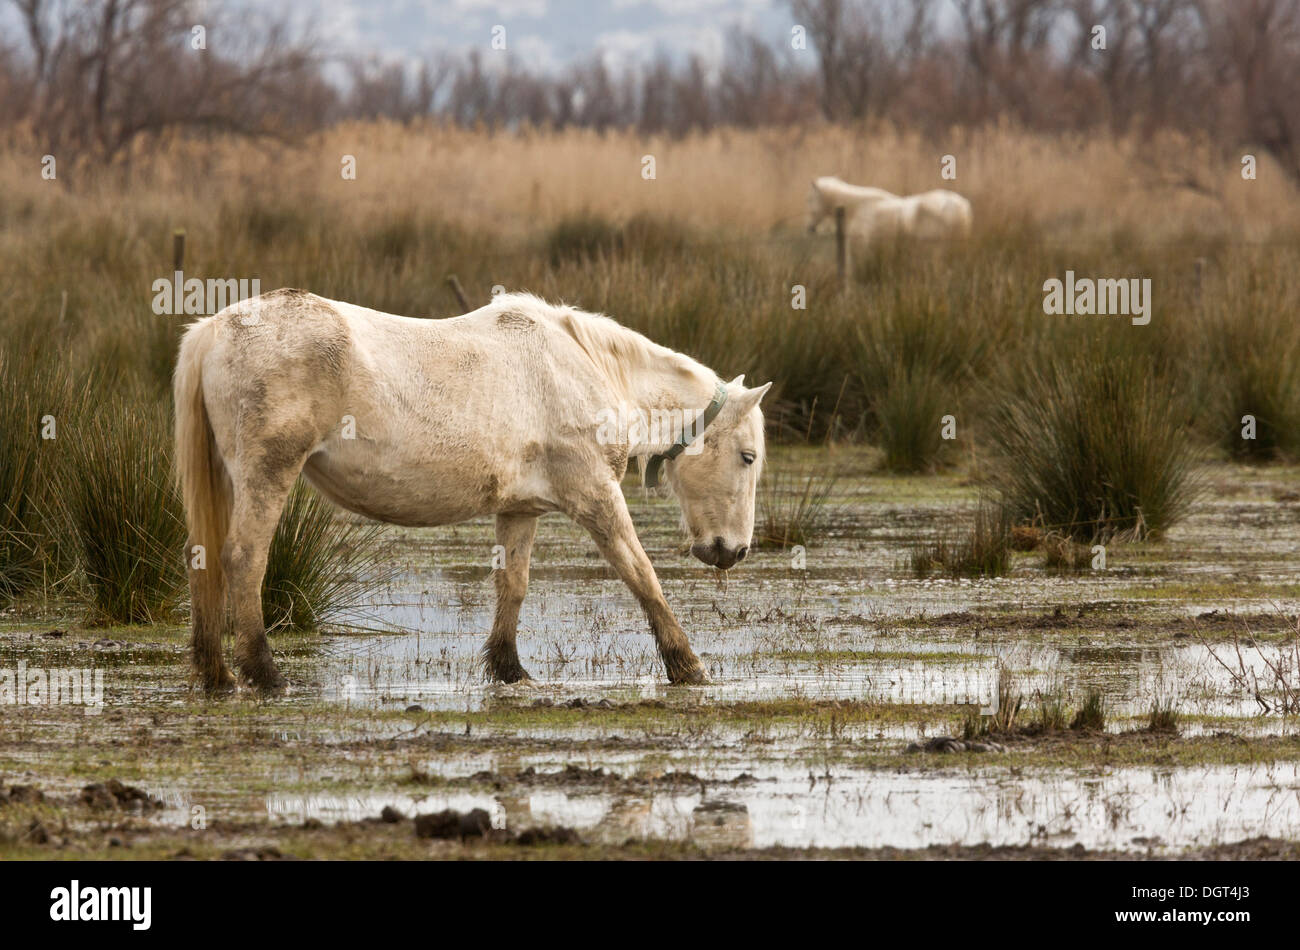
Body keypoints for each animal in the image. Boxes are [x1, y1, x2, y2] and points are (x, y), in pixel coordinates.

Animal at [173, 289, 771, 692]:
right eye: (748, 457)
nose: (734, 551)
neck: (583, 368)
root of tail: (214, 330)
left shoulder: (521, 509)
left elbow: (513, 586)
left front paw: (509, 668)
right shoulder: (595, 495)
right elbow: (642, 575)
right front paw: (688, 665)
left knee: (204, 559)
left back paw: (216, 673)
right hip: (267, 473)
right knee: (245, 558)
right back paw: (264, 672)